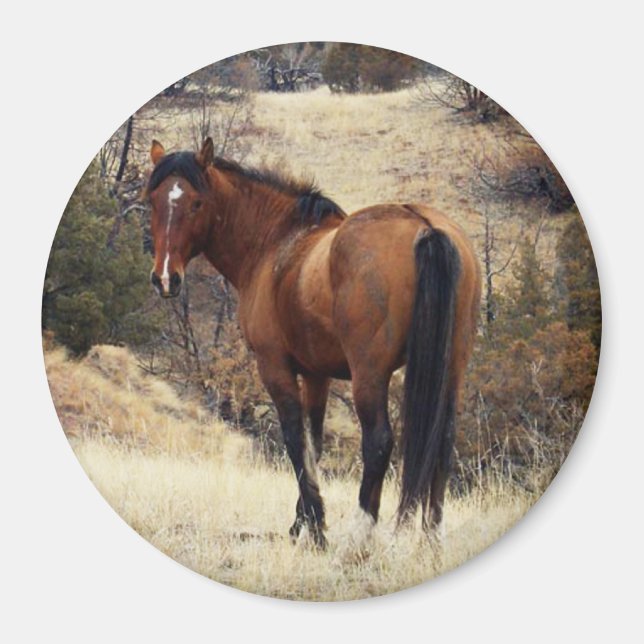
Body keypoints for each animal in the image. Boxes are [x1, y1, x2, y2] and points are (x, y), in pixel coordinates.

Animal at [146, 137, 481, 548]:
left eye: (196, 203)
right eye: (153, 201)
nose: (166, 278)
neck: (275, 243)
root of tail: (425, 226)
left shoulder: (275, 368)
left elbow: (295, 441)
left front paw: (317, 528)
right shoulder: (317, 375)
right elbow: (314, 443)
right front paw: (301, 523)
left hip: (369, 376)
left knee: (378, 442)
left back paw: (360, 535)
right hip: (451, 370)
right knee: (442, 440)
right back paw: (431, 538)